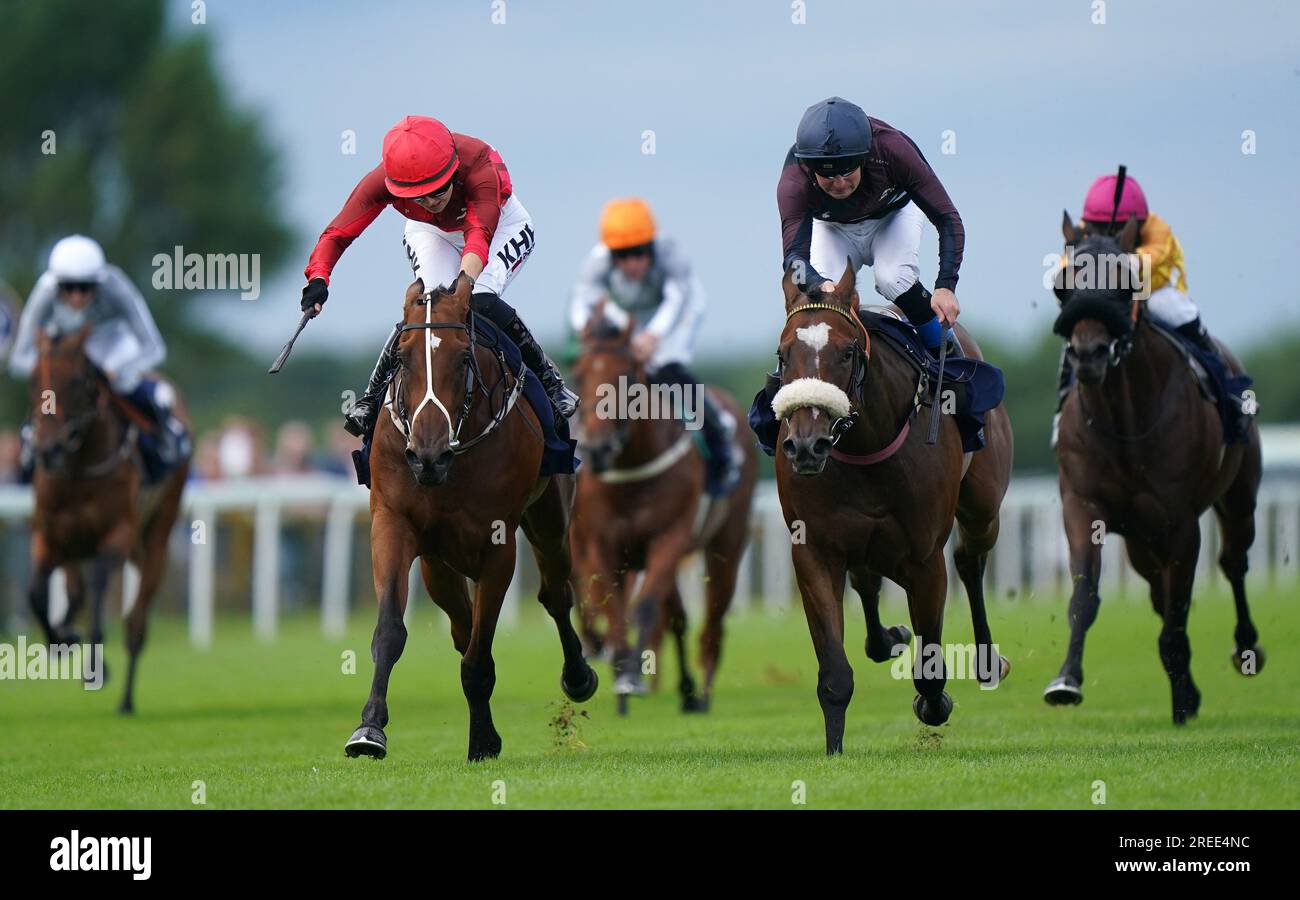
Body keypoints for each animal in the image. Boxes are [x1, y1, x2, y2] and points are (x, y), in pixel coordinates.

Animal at [25, 326, 189, 712]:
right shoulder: (47, 535)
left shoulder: (117, 535)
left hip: (157, 534)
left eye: (76, 381)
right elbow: (36, 593)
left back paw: (126, 700)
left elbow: (100, 590)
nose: (48, 450)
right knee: (75, 591)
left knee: (136, 622)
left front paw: (95, 667)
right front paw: (62, 641)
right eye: (33, 379)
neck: (78, 469)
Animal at [340, 271, 595, 759]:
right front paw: (369, 729)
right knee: (461, 626)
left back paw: (578, 676)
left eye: (462, 358)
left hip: (550, 521)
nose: (427, 456)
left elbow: (479, 657)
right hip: (437, 562)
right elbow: (391, 630)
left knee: (555, 594)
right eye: (401, 358)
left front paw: (482, 741)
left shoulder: (497, 545)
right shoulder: (393, 522)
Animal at [572, 316, 759, 717]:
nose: (597, 448)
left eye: (627, 372)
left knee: (712, 619)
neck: (632, 470)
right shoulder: (601, 545)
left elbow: (644, 608)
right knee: (675, 617)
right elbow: (615, 610)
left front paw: (631, 678)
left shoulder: (669, 537)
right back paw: (684, 689)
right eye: (579, 374)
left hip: (726, 543)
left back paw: (702, 693)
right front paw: (621, 683)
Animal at [769, 264, 1013, 754]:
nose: (805, 445)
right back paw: (889, 638)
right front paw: (834, 748)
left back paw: (986, 661)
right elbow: (835, 673)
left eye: (846, 353)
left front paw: (933, 705)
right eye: (784, 355)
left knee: (969, 561)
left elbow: (930, 668)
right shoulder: (814, 551)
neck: (865, 446)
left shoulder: (925, 559)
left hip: (983, 507)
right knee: (867, 583)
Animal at [1040, 213, 1263, 723]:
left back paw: (1246, 648)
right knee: (1160, 591)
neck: (1125, 423)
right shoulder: (1083, 506)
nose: (1088, 354)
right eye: (1063, 284)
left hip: (1238, 496)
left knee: (1233, 561)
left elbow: (1179, 609)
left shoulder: (1181, 523)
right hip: (1142, 541)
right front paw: (1066, 680)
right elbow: (1086, 596)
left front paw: (1182, 698)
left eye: (1126, 283)